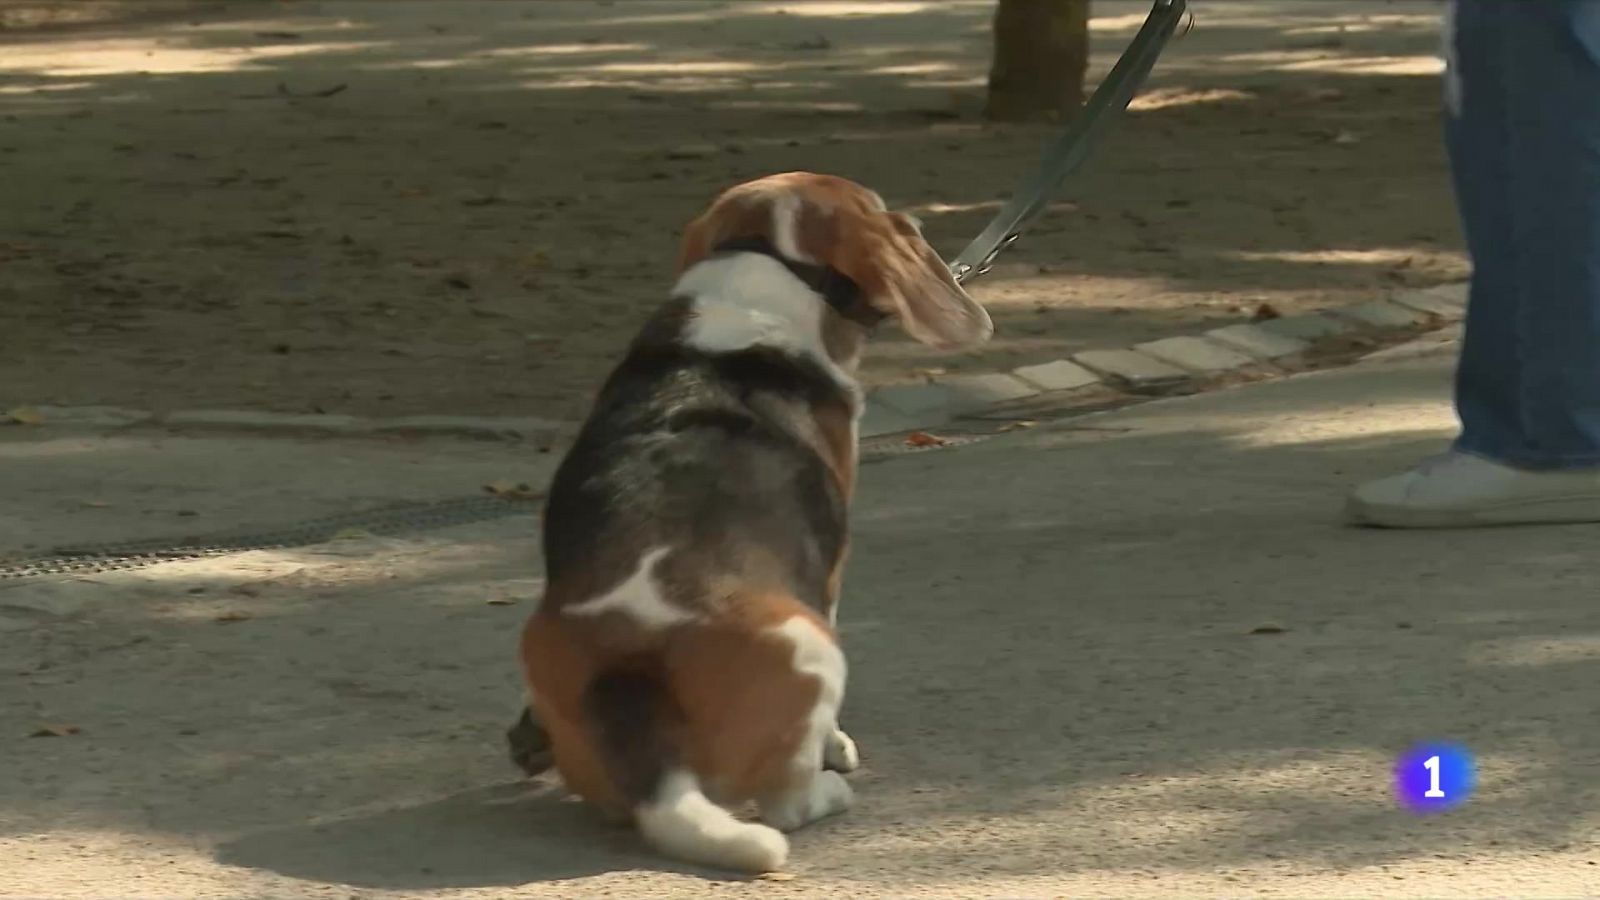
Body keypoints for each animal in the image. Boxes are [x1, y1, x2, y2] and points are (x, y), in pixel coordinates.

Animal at [515, 168, 985, 871]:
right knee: (786, 803)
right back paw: (827, 790)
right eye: (876, 205)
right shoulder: (830, 575)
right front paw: (836, 744)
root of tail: (627, 664)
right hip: (813, 643)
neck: (763, 266)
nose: (919, 222)